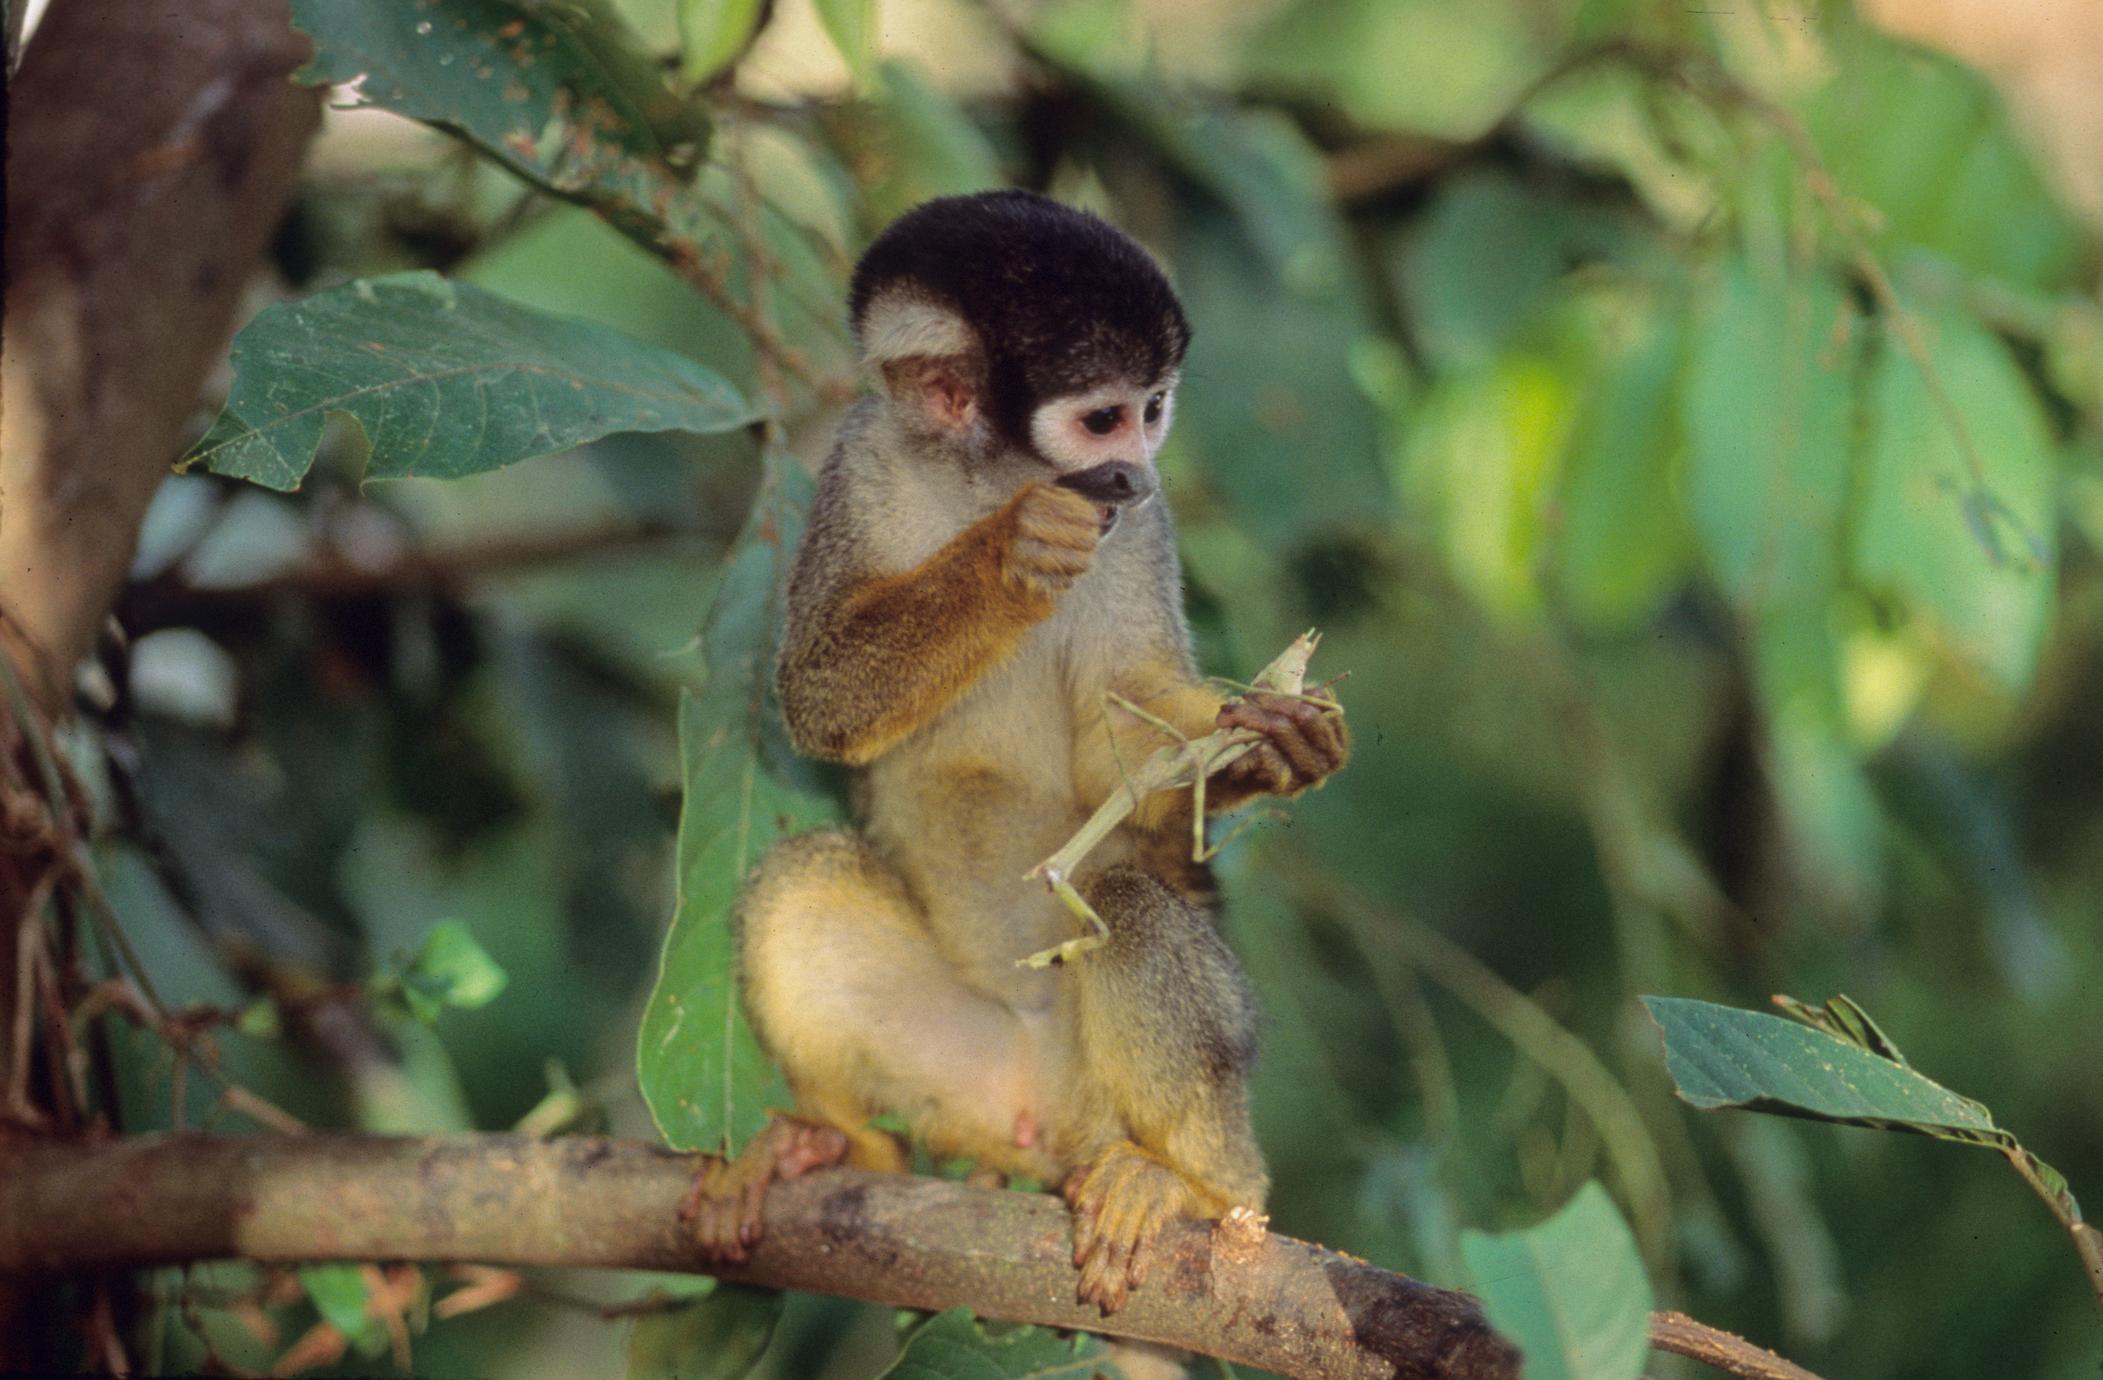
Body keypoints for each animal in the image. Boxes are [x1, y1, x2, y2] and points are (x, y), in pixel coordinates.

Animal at [681, 188, 1354, 1312]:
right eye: (1102, 416)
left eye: (1154, 407)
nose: (1139, 470)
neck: (983, 475)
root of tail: (1042, 1110)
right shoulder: (862, 457)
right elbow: (816, 699)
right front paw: (1012, 551)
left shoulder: (1140, 530)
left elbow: (1123, 744)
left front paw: (1272, 748)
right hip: (961, 1068)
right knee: (803, 878)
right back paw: (831, 1144)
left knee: (1129, 905)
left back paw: (1197, 1189)